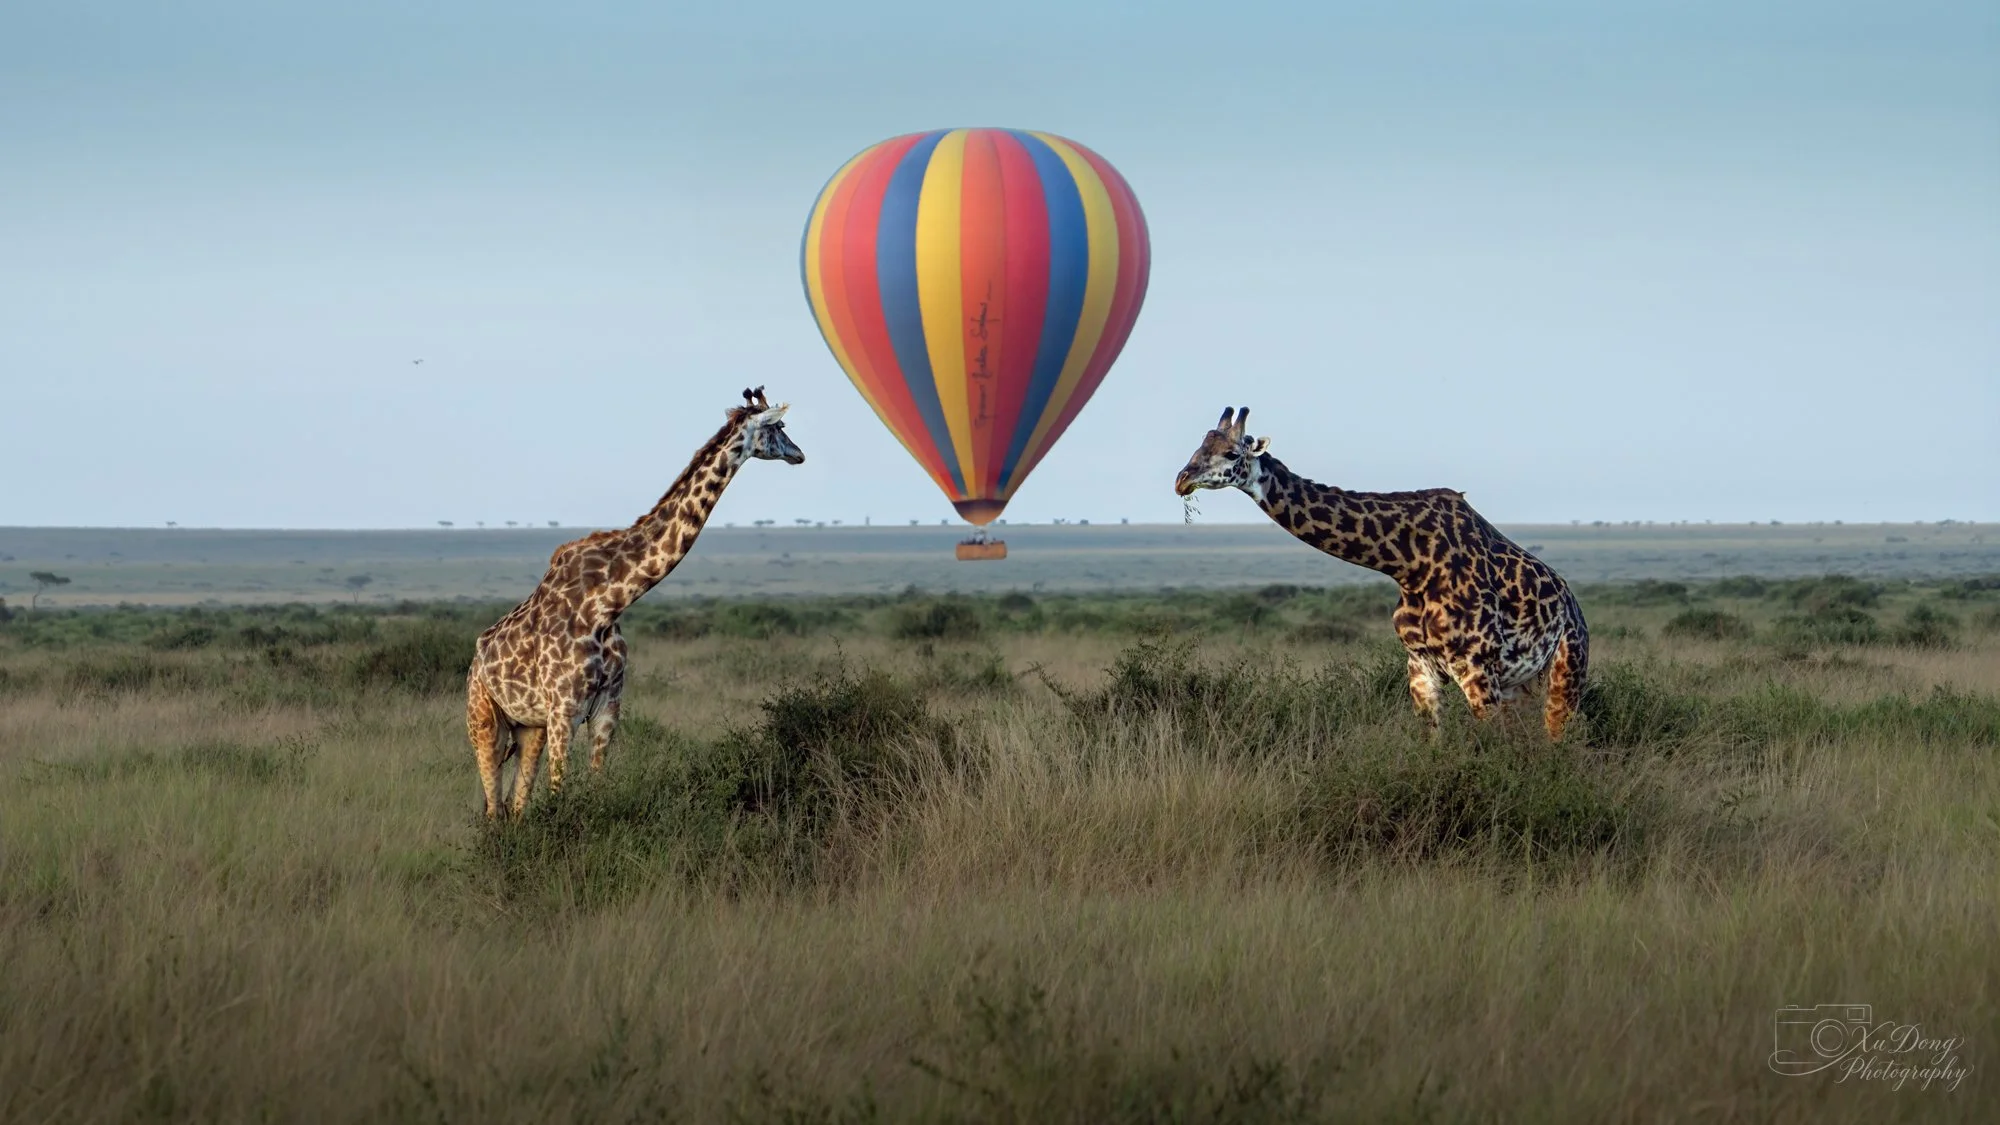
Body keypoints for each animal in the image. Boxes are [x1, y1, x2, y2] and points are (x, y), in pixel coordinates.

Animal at [466, 386, 805, 818]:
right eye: (779, 426)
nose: (799, 454)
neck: (608, 602)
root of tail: (475, 662)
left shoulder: (606, 708)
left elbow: (595, 786)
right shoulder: (564, 710)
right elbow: (559, 793)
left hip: (528, 728)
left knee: (515, 806)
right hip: (484, 718)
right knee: (493, 806)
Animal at [1173, 407, 1589, 740]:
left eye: (1230, 453)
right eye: (1198, 447)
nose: (1182, 479)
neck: (1410, 563)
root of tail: (1572, 602)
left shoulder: (1476, 666)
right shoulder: (1420, 666)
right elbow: (1434, 744)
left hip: (1566, 667)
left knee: (1557, 738)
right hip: (1521, 683)